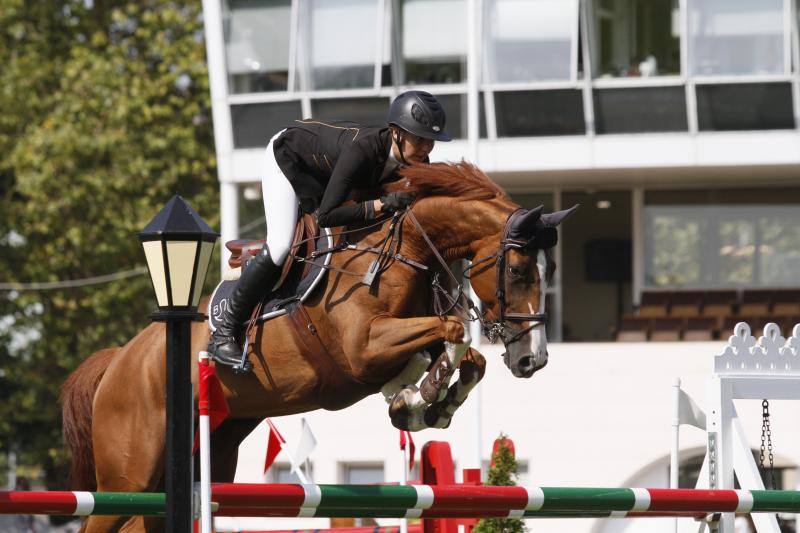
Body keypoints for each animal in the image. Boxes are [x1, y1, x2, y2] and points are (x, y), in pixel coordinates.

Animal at [61, 160, 576, 528]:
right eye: (518, 271)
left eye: (549, 270)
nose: (532, 359)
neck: (404, 248)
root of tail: (120, 360)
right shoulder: (362, 350)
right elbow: (453, 332)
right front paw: (419, 397)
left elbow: (467, 356)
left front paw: (421, 402)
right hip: (129, 474)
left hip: (207, 460)